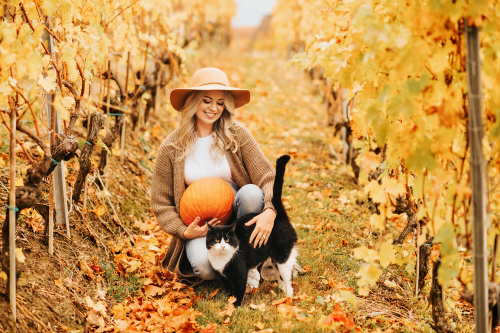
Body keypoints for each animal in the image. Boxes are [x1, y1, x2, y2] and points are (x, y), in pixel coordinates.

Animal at [206, 154, 296, 304]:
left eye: (228, 239)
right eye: (217, 240)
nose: (223, 246)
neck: (221, 259)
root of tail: (279, 216)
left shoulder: (240, 273)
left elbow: (238, 291)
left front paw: (234, 306)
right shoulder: (223, 277)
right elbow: (229, 290)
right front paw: (228, 301)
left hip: (284, 257)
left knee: (288, 279)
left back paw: (288, 298)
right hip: (275, 259)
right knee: (280, 276)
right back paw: (281, 291)